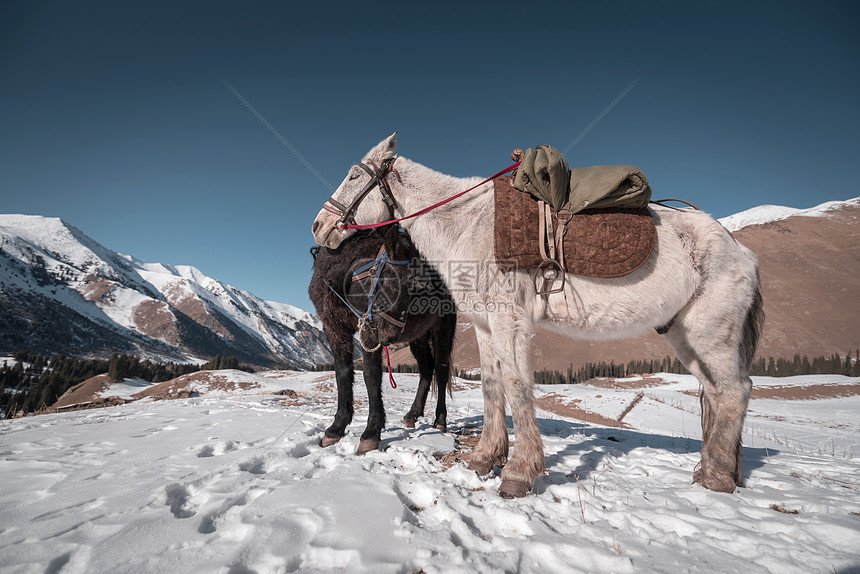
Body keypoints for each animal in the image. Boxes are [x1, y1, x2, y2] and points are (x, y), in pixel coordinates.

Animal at [310, 225, 456, 454]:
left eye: (415, 287)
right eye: (391, 281)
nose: (389, 336)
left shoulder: (369, 331)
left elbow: (371, 376)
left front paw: (371, 433)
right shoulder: (336, 330)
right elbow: (342, 375)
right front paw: (336, 428)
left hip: (443, 329)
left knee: (440, 371)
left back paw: (440, 420)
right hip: (418, 337)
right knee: (426, 368)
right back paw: (412, 414)